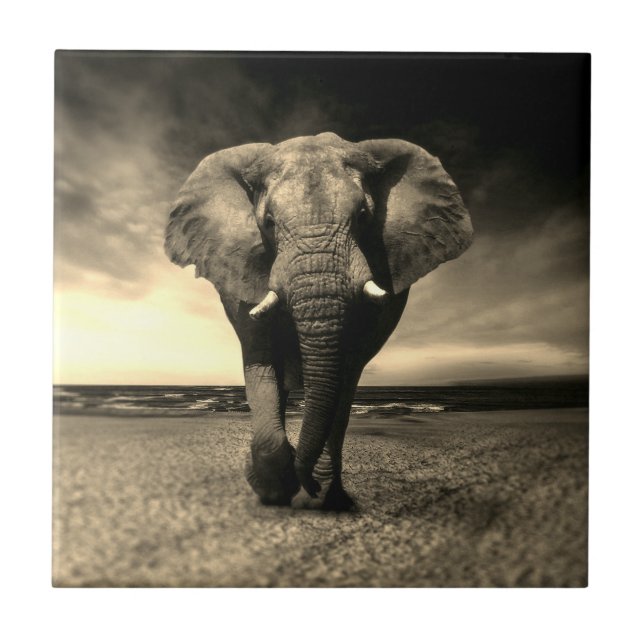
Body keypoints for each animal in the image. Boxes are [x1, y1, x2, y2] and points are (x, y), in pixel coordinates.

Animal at [164, 132, 473, 510]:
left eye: (363, 216)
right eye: (268, 223)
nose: (307, 483)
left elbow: (344, 370)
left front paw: (315, 492)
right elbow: (261, 360)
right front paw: (274, 490)